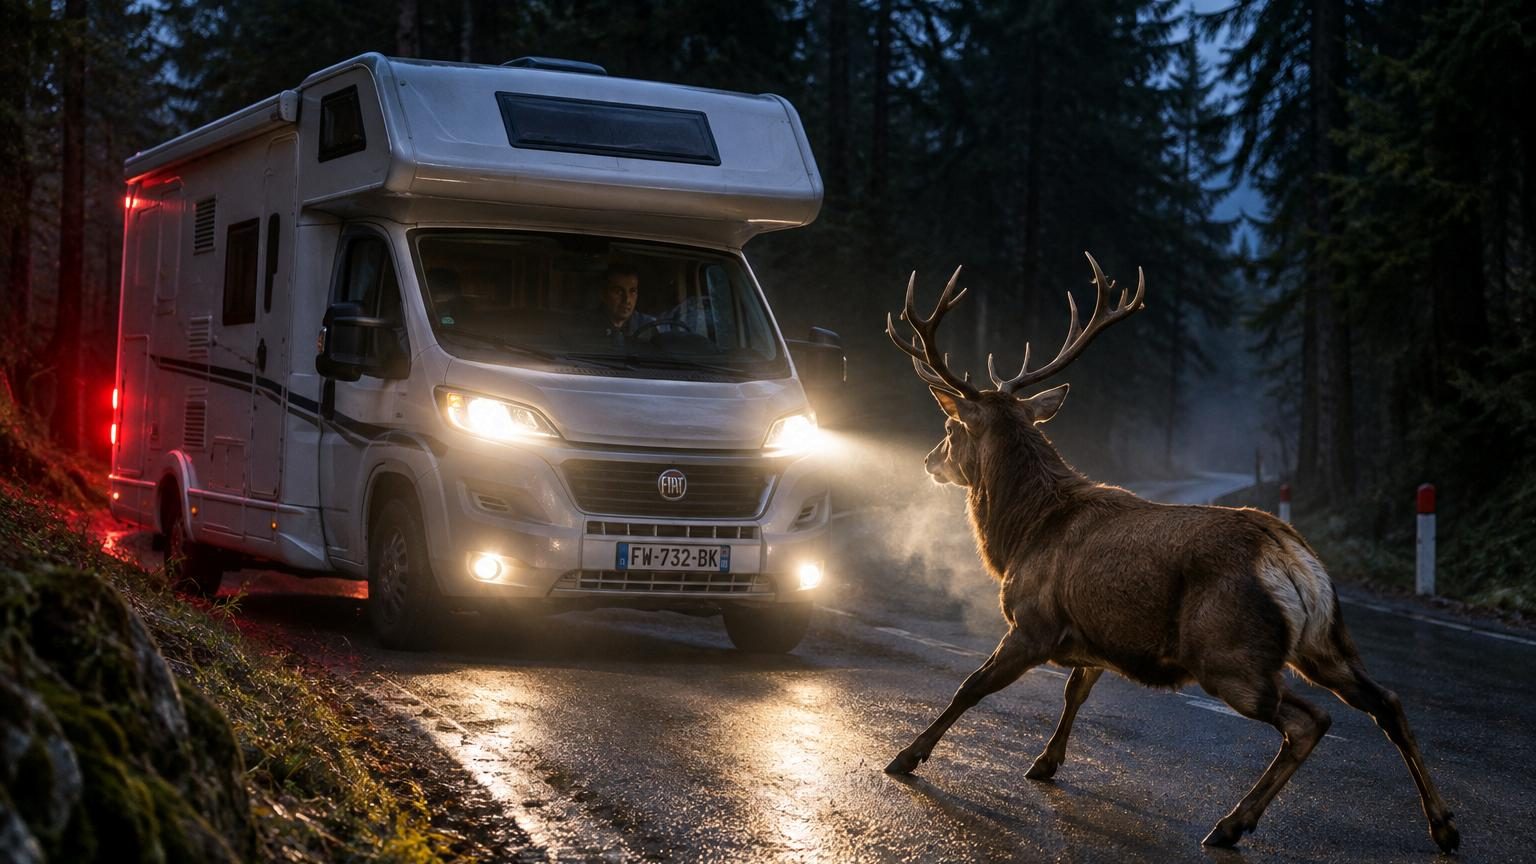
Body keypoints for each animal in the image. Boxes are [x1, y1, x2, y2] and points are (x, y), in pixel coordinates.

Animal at [880, 254, 1460, 853]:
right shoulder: (1097, 637)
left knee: (1308, 720)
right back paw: (1442, 825)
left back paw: (1230, 824)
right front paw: (1046, 762)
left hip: (1227, 650)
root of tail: (1288, 555)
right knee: (1387, 701)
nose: (929, 459)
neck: (1021, 535)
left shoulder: (1034, 622)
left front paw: (907, 757)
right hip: (1326, 641)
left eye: (951, 426)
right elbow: (1074, 691)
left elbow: (971, 686)